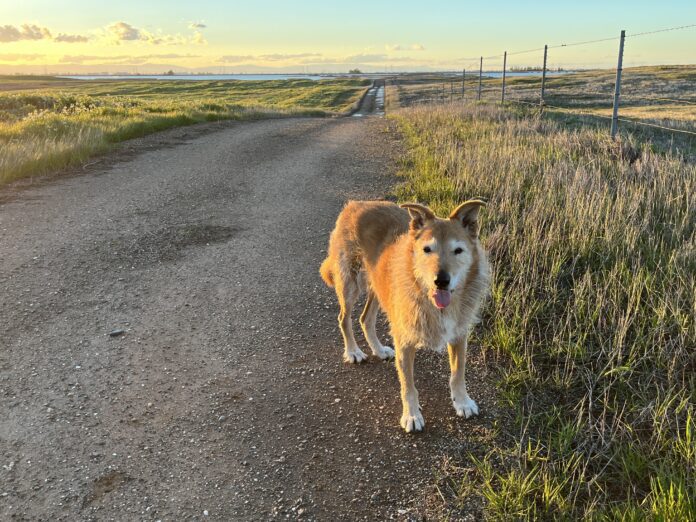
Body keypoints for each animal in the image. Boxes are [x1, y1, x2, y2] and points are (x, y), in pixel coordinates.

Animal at [320, 199, 490, 430]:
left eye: (458, 250)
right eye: (427, 249)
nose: (441, 281)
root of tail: (356, 203)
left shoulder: (459, 335)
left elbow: (458, 372)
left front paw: (462, 402)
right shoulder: (405, 340)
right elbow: (408, 384)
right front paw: (411, 415)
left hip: (379, 288)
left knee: (365, 318)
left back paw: (379, 349)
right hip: (350, 283)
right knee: (344, 318)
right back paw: (353, 351)